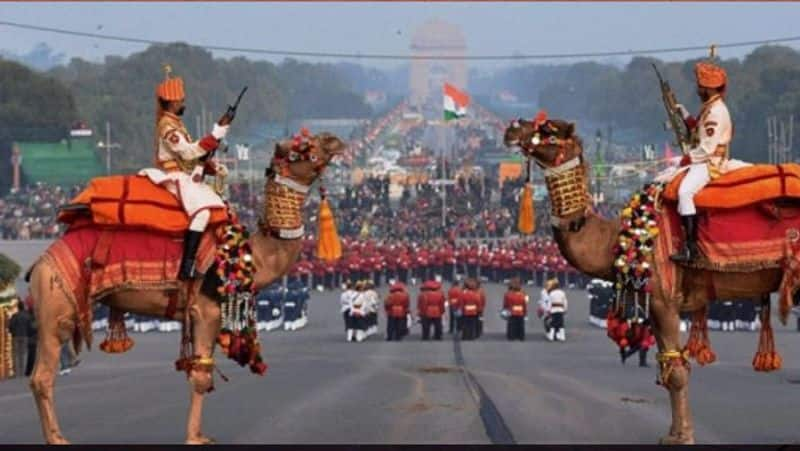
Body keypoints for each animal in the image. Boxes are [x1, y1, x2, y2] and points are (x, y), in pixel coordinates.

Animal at [24, 132, 344, 444]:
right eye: (302, 149)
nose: (334, 140)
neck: (247, 255)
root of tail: (39, 264)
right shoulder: (205, 310)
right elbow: (201, 375)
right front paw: (194, 438)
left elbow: (201, 368)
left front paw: (200, 433)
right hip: (57, 305)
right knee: (43, 375)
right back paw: (57, 439)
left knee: (38, 375)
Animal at [506, 116, 800, 444]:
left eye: (549, 131)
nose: (512, 128)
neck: (623, 238)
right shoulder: (657, 304)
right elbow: (669, 362)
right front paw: (675, 432)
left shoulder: (664, 298)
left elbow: (676, 371)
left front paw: (683, 438)